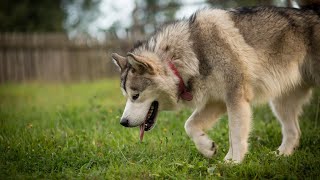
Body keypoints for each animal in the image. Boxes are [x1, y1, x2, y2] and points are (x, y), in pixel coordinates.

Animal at [111, 0, 318, 163]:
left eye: (135, 95)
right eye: (126, 96)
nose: (123, 122)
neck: (190, 55)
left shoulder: (235, 97)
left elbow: (235, 134)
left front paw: (233, 163)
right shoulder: (216, 101)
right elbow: (189, 125)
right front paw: (208, 147)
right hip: (280, 103)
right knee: (293, 131)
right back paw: (281, 156)